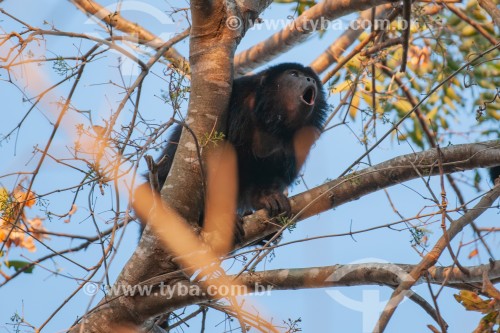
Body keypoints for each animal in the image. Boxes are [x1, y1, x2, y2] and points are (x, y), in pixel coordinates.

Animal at [146, 62, 326, 239]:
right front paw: (220, 219)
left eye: (311, 79)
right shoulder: (238, 103)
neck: (270, 122)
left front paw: (266, 196)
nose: (310, 79)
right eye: (294, 74)